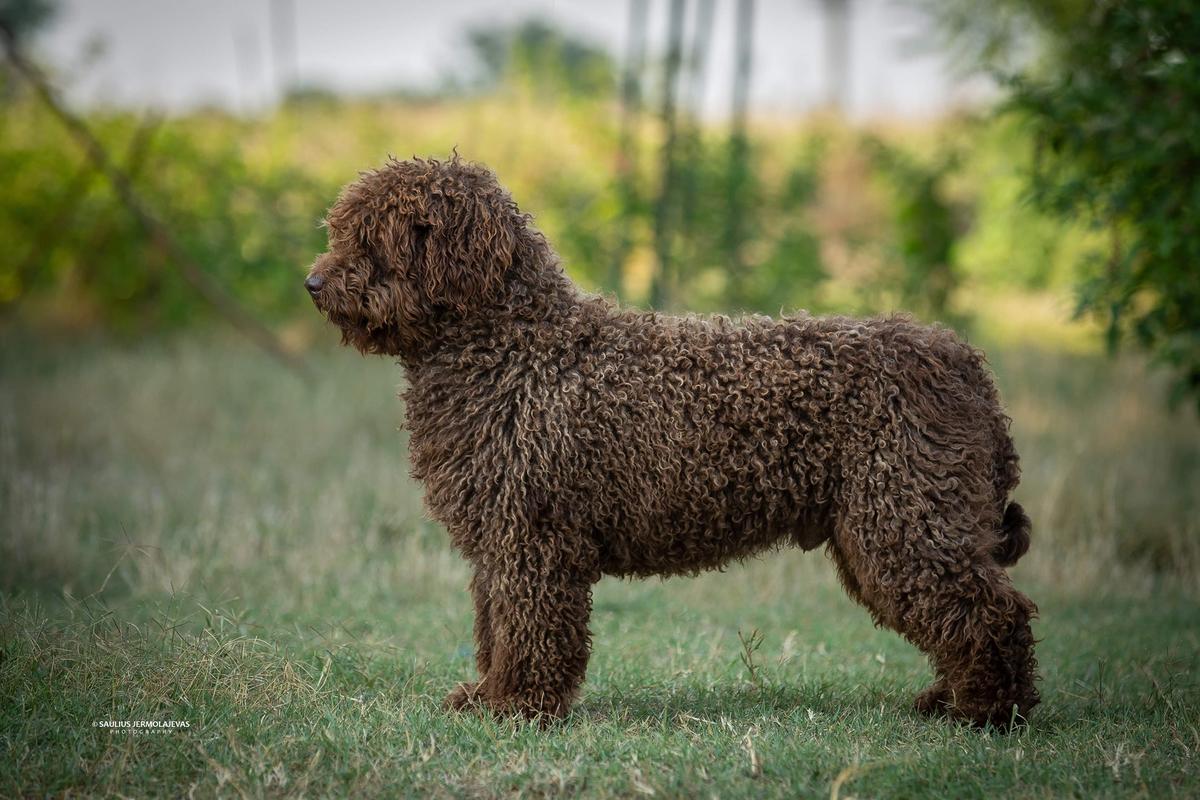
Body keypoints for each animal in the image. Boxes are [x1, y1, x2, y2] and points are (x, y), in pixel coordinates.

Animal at [307, 153, 1041, 729]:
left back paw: (986, 713)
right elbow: (496, 627)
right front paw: (489, 697)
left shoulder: (532, 538)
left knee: (990, 613)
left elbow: (528, 630)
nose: (313, 283)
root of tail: (964, 363)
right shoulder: (500, 542)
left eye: (375, 237)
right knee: (964, 613)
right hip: (895, 526)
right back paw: (950, 700)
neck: (514, 346)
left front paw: (517, 707)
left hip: (906, 519)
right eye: (343, 231)